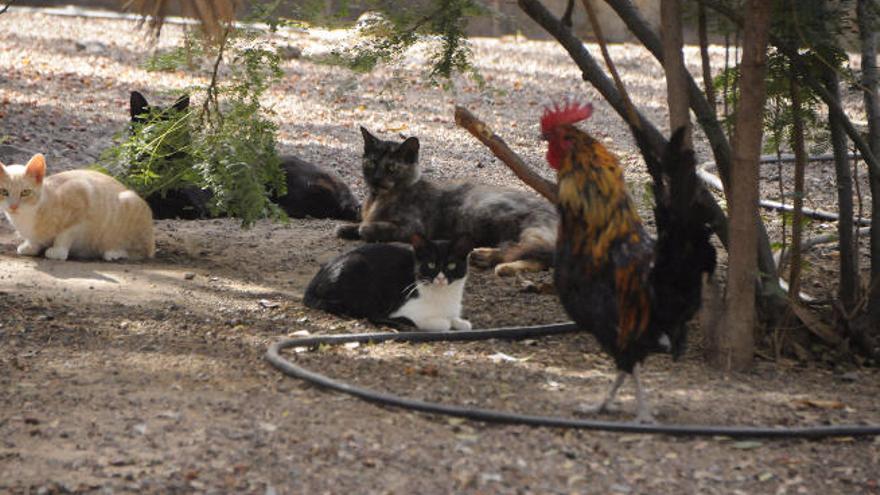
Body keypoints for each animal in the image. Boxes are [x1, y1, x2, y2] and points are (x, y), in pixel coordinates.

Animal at [0, 153, 155, 262]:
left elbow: (65, 234)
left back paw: (114, 252)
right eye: (4, 192)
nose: (13, 206)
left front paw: (58, 251)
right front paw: (31, 246)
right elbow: (34, 239)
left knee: (140, 251)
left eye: (25, 192)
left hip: (129, 205)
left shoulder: (81, 194)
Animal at [306, 234, 478, 332]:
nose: (441, 278)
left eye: (451, 265)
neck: (443, 295)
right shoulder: (406, 307)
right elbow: (443, 324)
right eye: (430, 265)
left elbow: (460, 322)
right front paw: (445, 322)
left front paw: (460, 321)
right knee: (367, 313)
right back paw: (399, 323)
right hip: (358, 268)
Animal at [336, 126, 556, 278]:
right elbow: (355, 225)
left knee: (531, 250)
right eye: (371, 163)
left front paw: (360, 228)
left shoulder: (412, 228)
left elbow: (367, 227)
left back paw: (482, 255)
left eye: (391, 167)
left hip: (532, 230)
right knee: (540, 259)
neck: (377, 199)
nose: (376, 179)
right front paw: (346, 227)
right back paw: (504, 267)